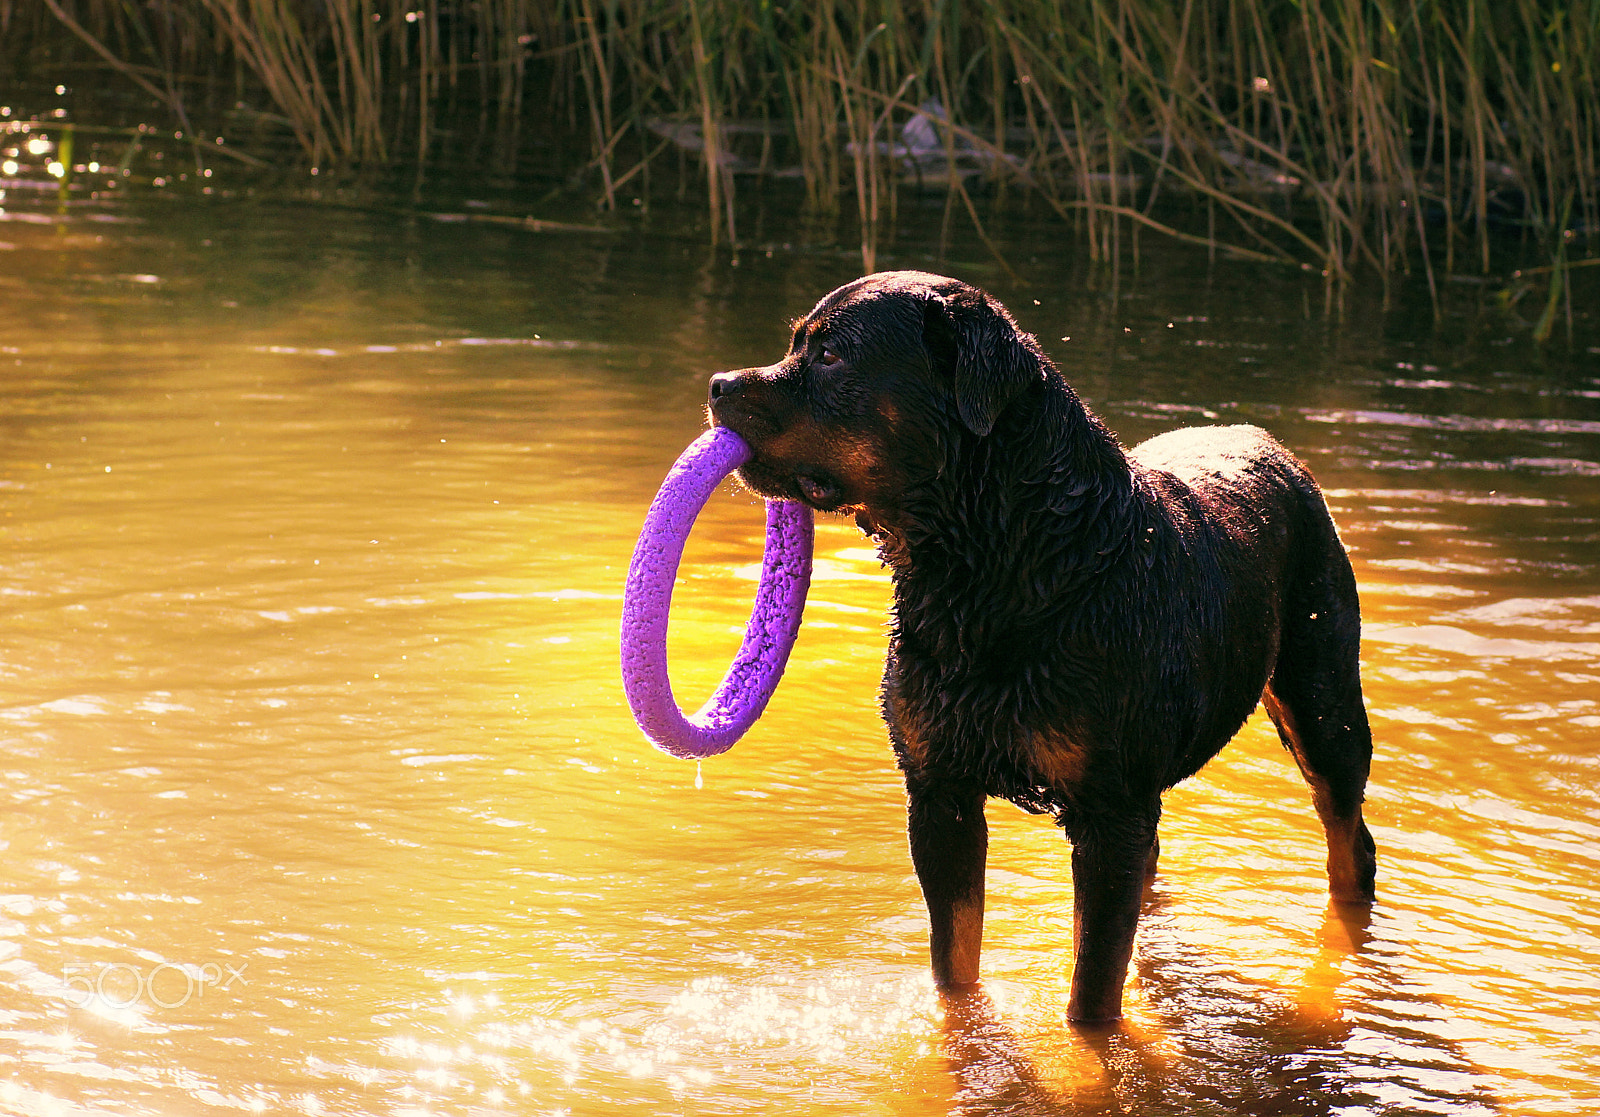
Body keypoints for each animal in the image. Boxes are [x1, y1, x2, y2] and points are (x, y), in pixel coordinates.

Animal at [707, 267, 1382, 1017]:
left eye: (829, 355)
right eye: (797, 343)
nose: (717, 384)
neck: (995, 570)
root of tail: (1272, 444)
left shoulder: (1108, 812)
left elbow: (1091, 998)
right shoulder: (939, 794)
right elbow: (956, 961)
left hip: (1321, 698)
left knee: (1348, 834)